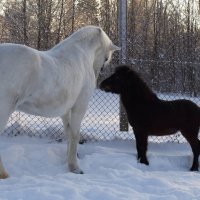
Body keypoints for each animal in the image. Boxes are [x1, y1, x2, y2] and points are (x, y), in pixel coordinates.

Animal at [0, 25, 119, 178]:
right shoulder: (80, 106)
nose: (98, 74)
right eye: (106, 58)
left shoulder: (66, 110)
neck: (82, 55)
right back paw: (4, 175)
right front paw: (74, 167)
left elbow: (68, 132)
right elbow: (75, 134)